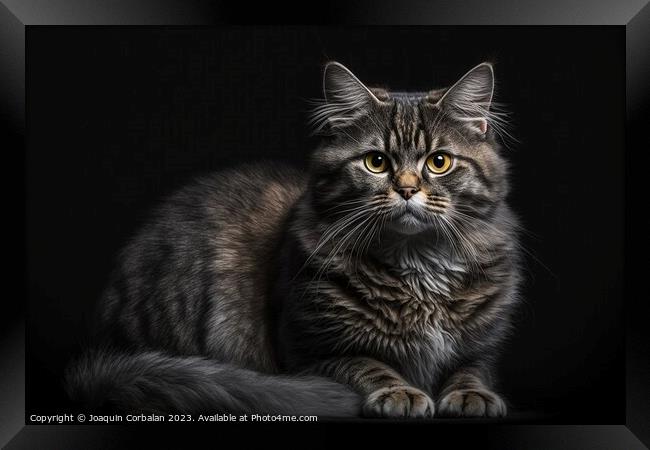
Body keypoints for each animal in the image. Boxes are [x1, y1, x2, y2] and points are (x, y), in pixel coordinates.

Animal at [66, 60, 520, 418]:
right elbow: (366, 365)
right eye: (376, 162)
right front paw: (400, 392)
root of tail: (98, 358)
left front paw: (472, 396)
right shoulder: (308, 350)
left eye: (439, 162)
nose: (407, 190)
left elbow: (471, 370)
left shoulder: (481, 346)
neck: (417, 264)